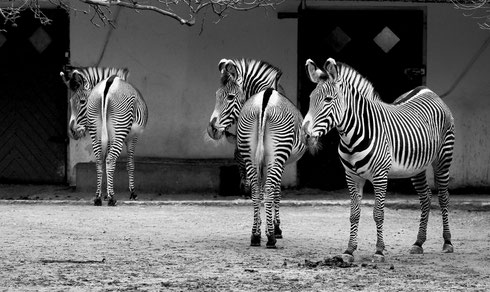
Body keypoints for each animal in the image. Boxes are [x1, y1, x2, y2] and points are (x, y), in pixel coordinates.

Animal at [60, 66, 147, 208]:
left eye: (82, 102)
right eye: (70, 102)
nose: (72, 132)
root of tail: (107, 86)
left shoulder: (111, 137)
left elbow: (106, 161)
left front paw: (105, 193)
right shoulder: (132, 137)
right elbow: (130, 164)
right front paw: (132, 193)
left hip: (96, 131)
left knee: (100, 161)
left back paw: (97, 198)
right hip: (120, 129)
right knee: (110, 159)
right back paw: (112, 199)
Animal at [207, 59, 306, 246]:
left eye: (229, 97)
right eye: (216, 95)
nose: (212, 130)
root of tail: (264, 101)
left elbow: (260, 191)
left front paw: (262, 226)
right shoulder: (280, 161)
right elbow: (276, 192)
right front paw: (275, 227)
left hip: (250, 151)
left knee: (255, 189)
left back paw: (255, 235)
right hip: (277, 153)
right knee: (268, 188)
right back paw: (271, 238)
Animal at [302, 57, 456, 262]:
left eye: (328, 99)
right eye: (310, 99)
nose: (305, 135)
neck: (352, 136)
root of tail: (427, 90)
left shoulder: (380, 176)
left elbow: (378, 213)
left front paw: (379, 251)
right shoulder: (351, 176)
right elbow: (354, 214)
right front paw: (349, 250)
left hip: (443, 157)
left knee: (443, 198)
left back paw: (447, 242)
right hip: (417, 166)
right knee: (425, 198)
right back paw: (418, 243)